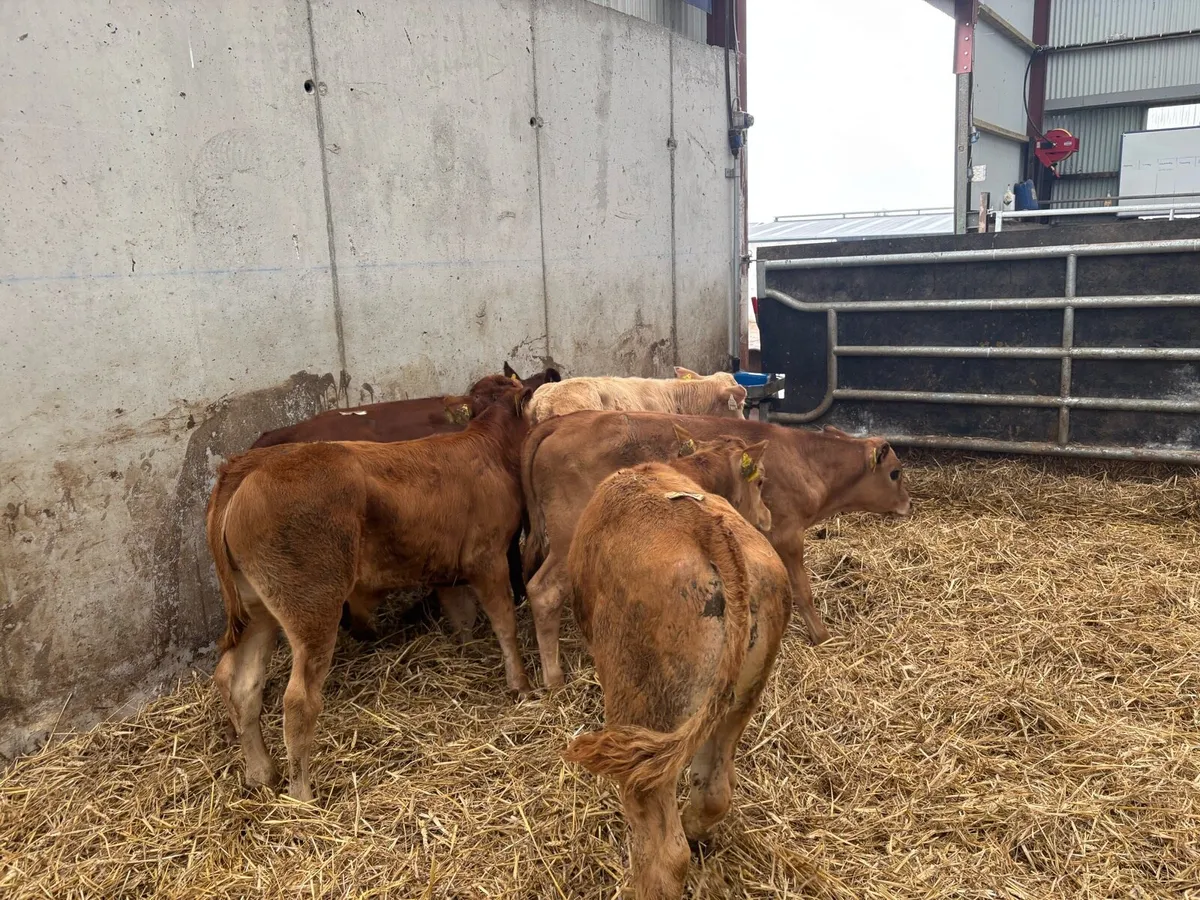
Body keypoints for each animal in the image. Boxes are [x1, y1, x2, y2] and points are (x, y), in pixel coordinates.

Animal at [208, 386, 534, 801]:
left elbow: (462, 618)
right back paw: (303, 796)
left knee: (242, 685)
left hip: (257, 610)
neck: (486, 446)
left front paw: (467, 655)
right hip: (313, 610)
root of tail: (247, 466)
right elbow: (505, 624)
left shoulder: (446, 569)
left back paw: (261, 773)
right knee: (298, 701)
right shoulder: (489, 558)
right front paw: (520, 685)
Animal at [521, 414, 911, 687]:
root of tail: (561, 421)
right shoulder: (787, 535)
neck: (805, 460)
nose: (908, 504)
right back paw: (554, 678)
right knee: (544, 591)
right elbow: (802, 589)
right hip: (567, 541)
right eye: (896, 473)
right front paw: (821, 635)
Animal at [562, 433, 787, 900]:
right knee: (715, 790)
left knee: (663, 853)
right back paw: (698, 830)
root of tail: (704, 525)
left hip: (643, 711)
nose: (769, 515)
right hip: (736, 703)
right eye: (760, 483)